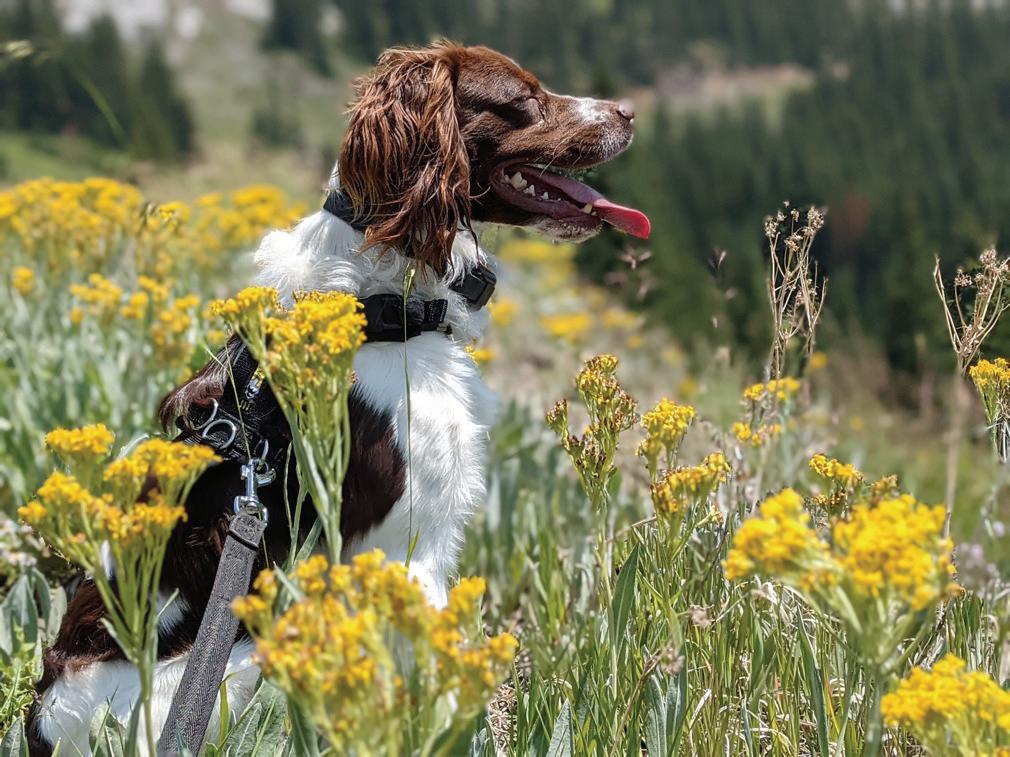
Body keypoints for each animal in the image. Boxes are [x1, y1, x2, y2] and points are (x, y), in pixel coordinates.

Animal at [28, 41, 649, 754]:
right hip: (244, 653)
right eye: (525, 97)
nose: (629, 111)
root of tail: (45, 726)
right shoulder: (409, 545)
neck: (384, 301)